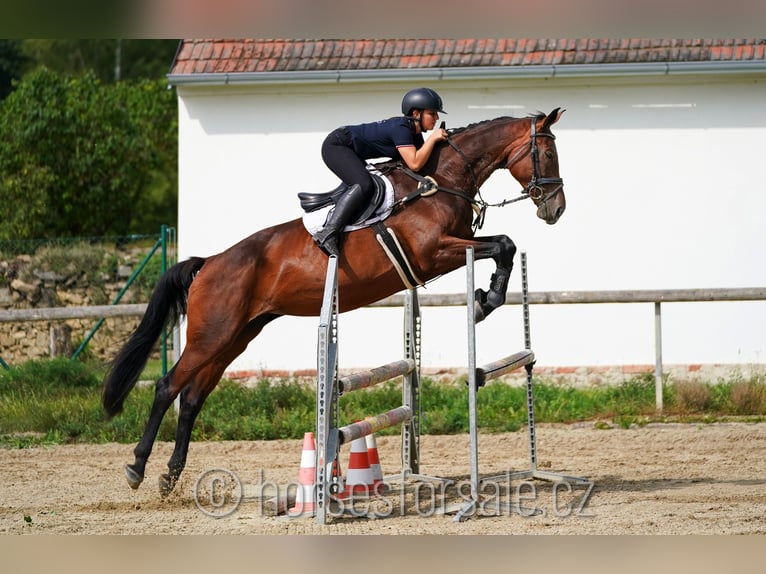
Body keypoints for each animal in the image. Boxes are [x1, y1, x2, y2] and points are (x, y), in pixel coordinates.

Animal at [102, 108, 568, 496]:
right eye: (547, 152)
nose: (556, 208)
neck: (441, 180)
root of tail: (208, 263)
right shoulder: (435, 252)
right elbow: (503, 244)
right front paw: (486, 299)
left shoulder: (452, 248)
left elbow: (504, 244)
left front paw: (486, 297)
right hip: (210, 336)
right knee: (167, 388)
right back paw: (137, 468)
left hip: (234, 337)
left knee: (193, 399)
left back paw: (170, 477)